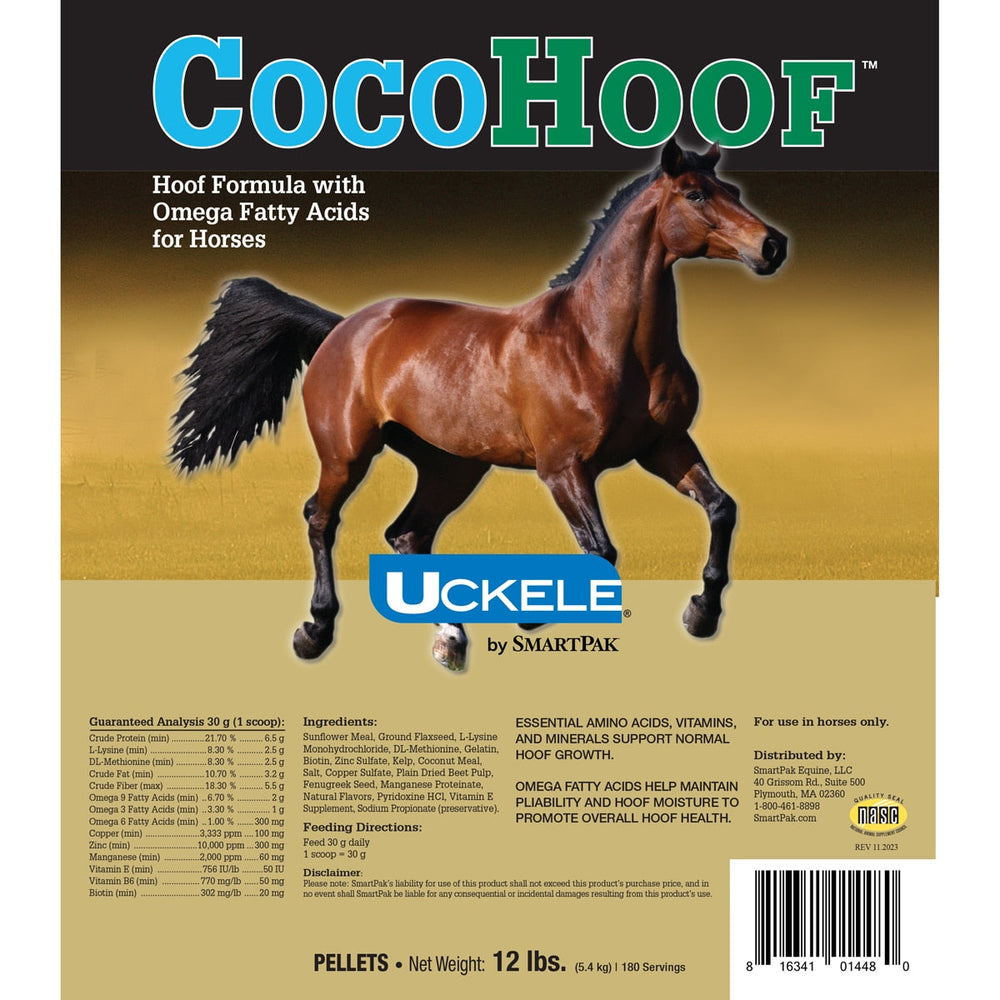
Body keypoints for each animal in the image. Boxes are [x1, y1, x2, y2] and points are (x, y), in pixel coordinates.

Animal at [169, 138, 787, 670]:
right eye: (696, 194)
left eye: (732, 190)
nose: (771, 246)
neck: (600, 343)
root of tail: (343, 328)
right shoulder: (564, 468)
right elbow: (601, 551)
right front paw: (532, 619)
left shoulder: (665, 447)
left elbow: (721, 508)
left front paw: (701, 614)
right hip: (347, 455)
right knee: (322, 518)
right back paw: (315, 632)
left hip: (452, 467)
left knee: (408, 535)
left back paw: (450, 636)